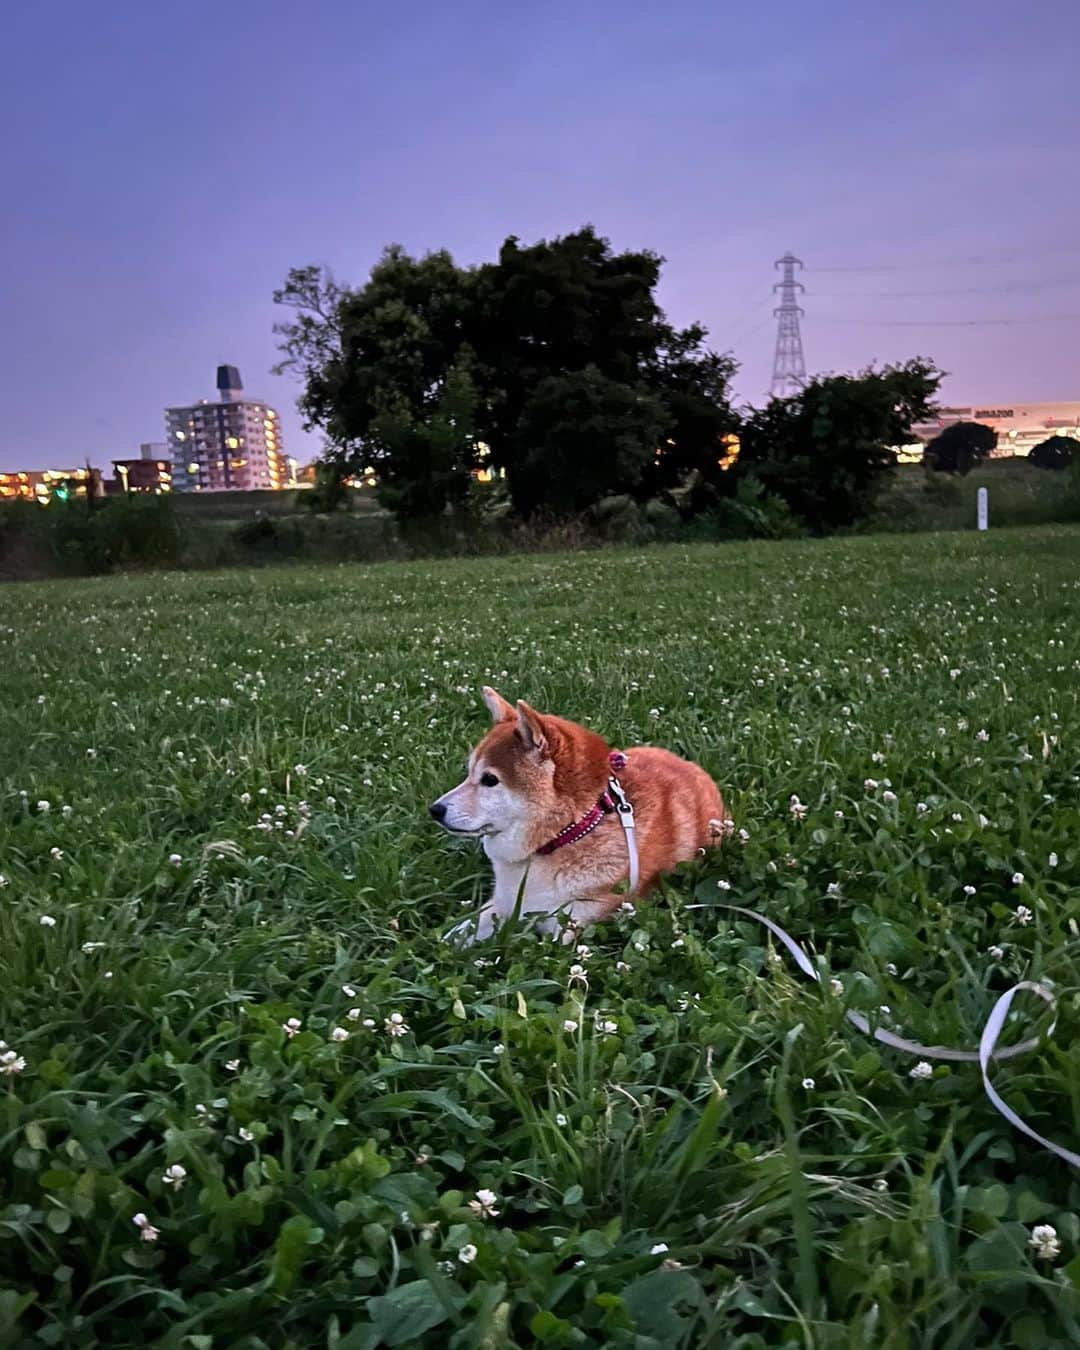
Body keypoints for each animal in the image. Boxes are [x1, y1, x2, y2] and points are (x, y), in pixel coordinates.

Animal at [429, 691, 723, 945]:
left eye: (490, 779)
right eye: (469, 773)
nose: (435, 810)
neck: (566, 835)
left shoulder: (572, 923)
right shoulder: (502, 902)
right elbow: (461, 931)